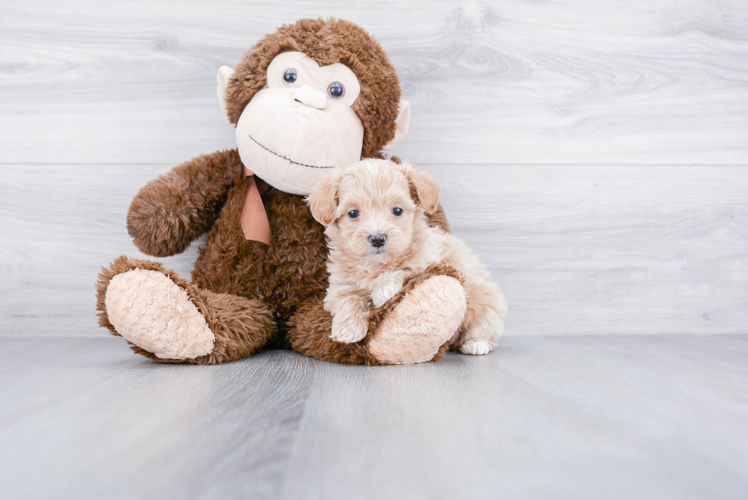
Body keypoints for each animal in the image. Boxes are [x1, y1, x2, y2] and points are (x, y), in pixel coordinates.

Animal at [306, 158, 508, 354]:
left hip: (485, 305)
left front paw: (383, 289)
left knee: (484, 328)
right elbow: (348, 300)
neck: (376, 264)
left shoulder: (430, 261)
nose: (377, 238)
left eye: (397, 211)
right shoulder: (339, 288)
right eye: (353, 213)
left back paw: (476, 344)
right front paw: (347, 330)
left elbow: (405, 269)